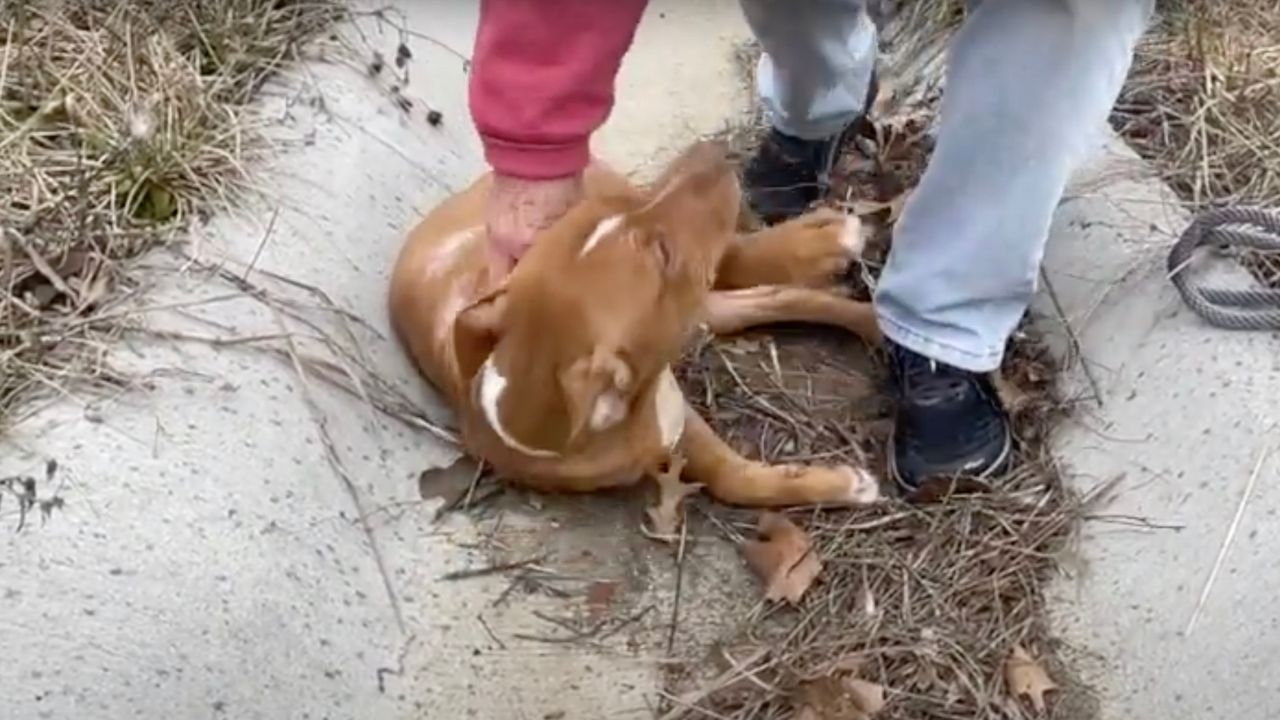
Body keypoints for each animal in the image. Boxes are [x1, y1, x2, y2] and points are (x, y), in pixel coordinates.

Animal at [389, 140, 885, 507]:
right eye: (662, 255)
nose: (710, 152)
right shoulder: (670, 416)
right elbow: (733, 478)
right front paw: (838, 485)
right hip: (696, 310)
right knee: (761, 293)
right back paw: (863, 308)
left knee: (740, 258)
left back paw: (826, 247)